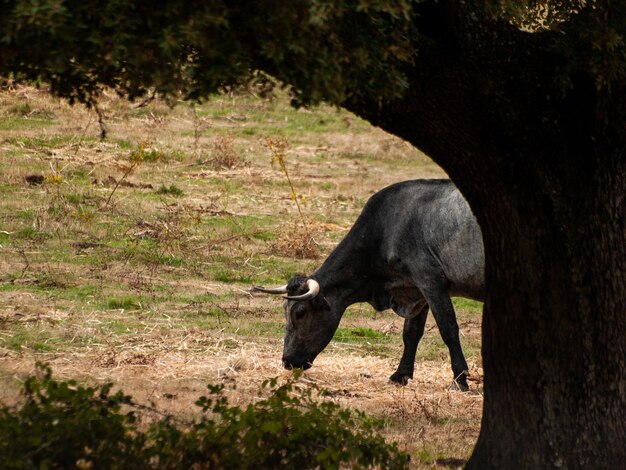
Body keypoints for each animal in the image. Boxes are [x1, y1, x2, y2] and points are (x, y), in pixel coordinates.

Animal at [250, 178, 482, 392]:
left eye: (299, 313)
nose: (287, 361)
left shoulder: (430, 281)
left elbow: (448, 329)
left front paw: (460, 379)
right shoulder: (416, 290)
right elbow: (411, 332)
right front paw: (400, 374)